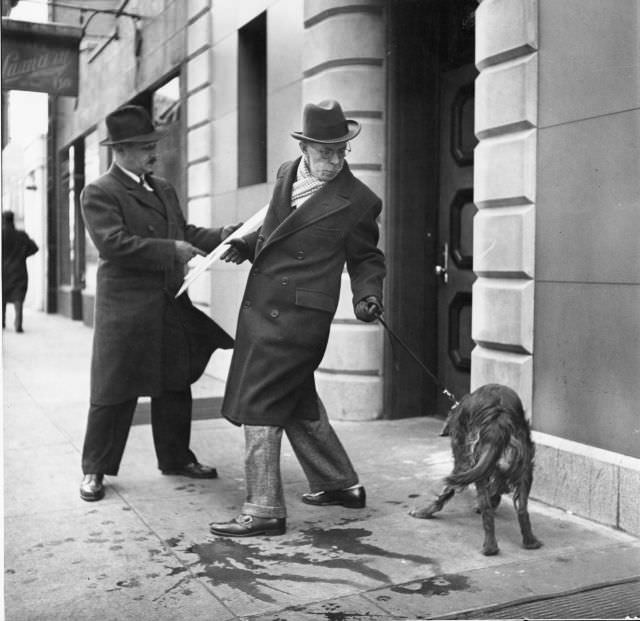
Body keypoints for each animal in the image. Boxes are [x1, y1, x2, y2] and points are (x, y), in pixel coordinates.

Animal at [412, 386, 544, 556]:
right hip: (524, 468)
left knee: (487, 510)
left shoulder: (464, 461)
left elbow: (446, 491)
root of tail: (499, 419)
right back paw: (530, 542)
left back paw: (490, 547)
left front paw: (425, 511)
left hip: (476, 464)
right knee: (522, 509)